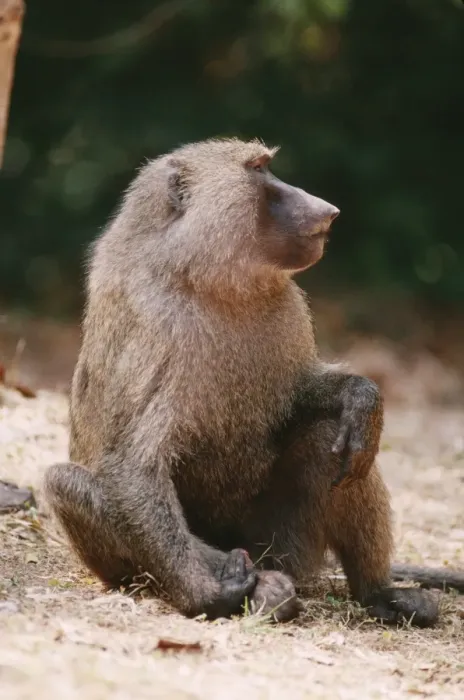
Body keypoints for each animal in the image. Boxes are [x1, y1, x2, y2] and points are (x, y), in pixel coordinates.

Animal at [44, 137, 451, 628]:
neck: (203, 276)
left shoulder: (288, 306)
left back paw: (378, 593)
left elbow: (302, 397)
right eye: (259, 170)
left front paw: (361, 397)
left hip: (282, 544)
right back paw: (252, 588)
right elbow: (132, 466)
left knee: (335, 440)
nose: (328, 210)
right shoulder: (155, 323)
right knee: (64, 482)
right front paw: (204, 592)